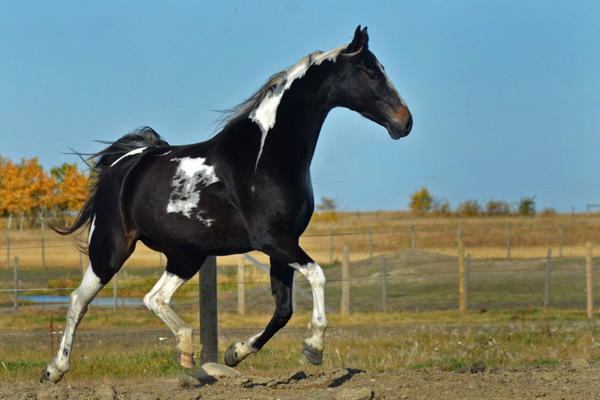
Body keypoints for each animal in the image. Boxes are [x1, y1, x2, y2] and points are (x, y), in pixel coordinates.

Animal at [39, 26, 410, 382]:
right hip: (111, 249)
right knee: (78, 301)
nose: (405, 122)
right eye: (371, 73)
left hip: (186, 255)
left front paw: (236, 353)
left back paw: (186, 350)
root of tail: (124, 163)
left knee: (154, 298)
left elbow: (283, 310)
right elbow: (317, 275)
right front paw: (314, 346)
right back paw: (54, 370)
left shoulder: (285, 242)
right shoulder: (270, 238)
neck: (265, 155)